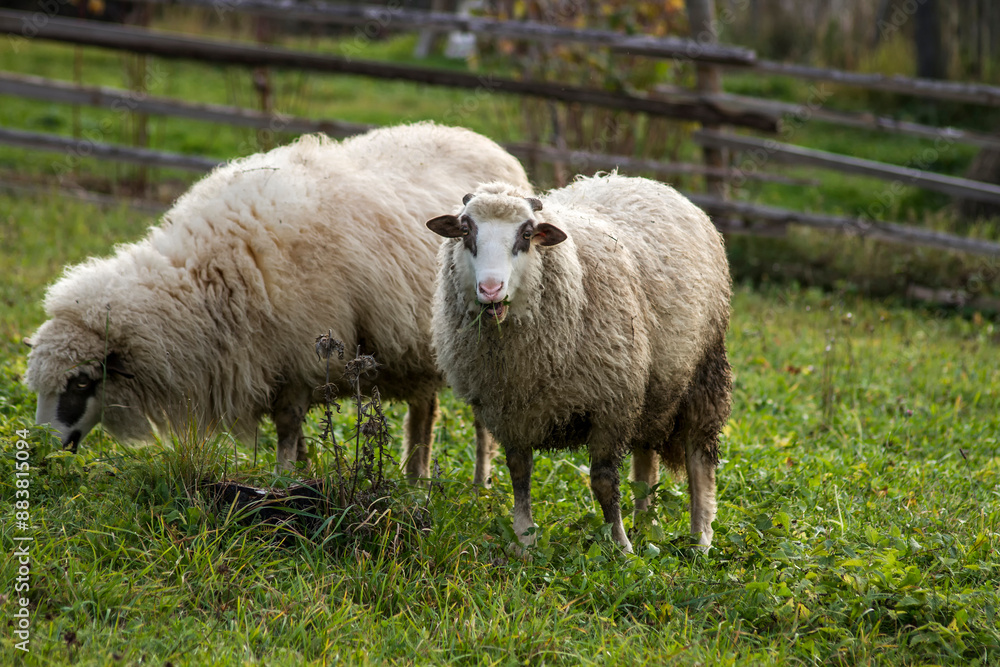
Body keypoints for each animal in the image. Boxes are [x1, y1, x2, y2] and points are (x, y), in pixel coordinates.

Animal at [26, 122, 532, 483]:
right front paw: (303, 474)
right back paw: (416, 478)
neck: (205, 280)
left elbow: (288, 429)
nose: (44, 450)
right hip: (419, 348)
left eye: (81, 382)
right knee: (424, 410)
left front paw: (283, 480)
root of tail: (486, 143)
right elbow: (298, 433)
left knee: (480, 419)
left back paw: (479, 483)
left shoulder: (300, 354)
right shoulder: (274, 360)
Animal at [426, 174, 732, 552]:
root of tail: (642, 180)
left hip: (703, 369)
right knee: (646, 455)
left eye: (527, 234)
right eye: (466, 230)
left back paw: (700, 538)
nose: (491, 288)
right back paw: (646, 525)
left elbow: (603, 481)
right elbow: (519, 473)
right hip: (652, 382)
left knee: (698, 454)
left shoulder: (611, 405)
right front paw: (524, 539)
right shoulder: (508, 410)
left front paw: (620, 547)